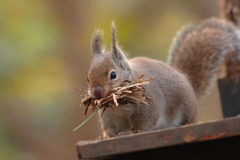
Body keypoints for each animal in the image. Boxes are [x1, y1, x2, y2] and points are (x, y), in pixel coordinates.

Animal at [86, 17, 240, 138]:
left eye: (113, 75)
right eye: (88, 78)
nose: (96, 92)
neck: (117, 104)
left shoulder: (148, 106)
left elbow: (145, 122)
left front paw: (133, 132)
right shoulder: (109, 116)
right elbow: (110, 128)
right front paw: (106, 136)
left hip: (187, 107)